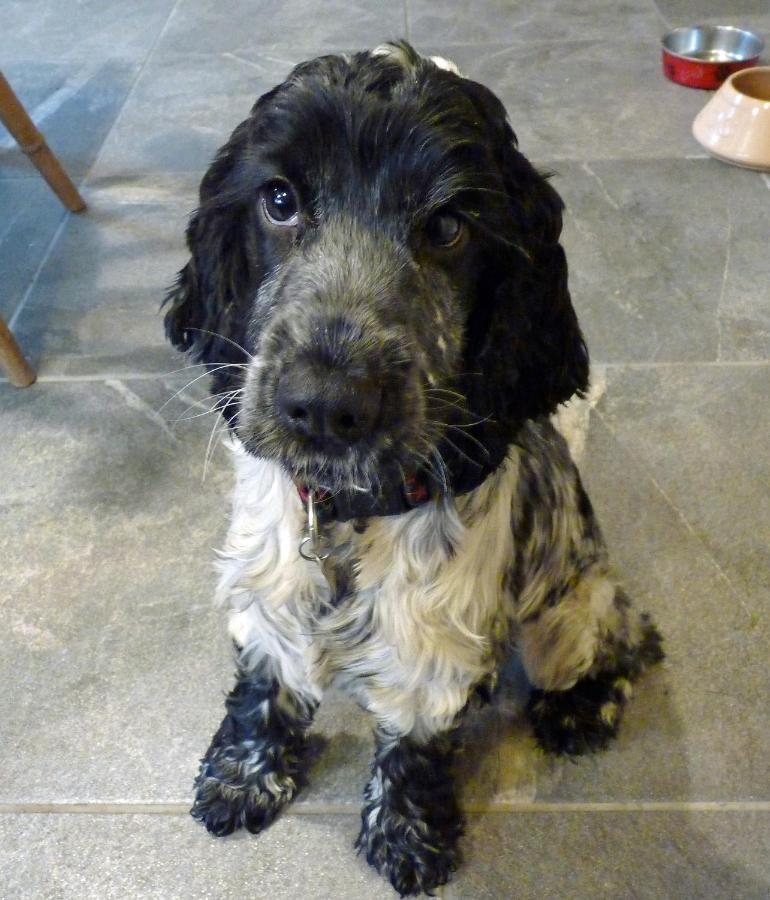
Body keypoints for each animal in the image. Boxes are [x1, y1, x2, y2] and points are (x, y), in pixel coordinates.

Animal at [165, 40, 664, 892]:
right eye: (279, 199)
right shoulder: (264, 582)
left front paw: (408, 838)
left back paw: (580, 709)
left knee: (623, 637)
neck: (344, 516)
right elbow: (265, 682)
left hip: (568, 610)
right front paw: (242, 777)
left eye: (449, 225)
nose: (323, 404)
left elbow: (414, 743)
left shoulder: (435, 641)